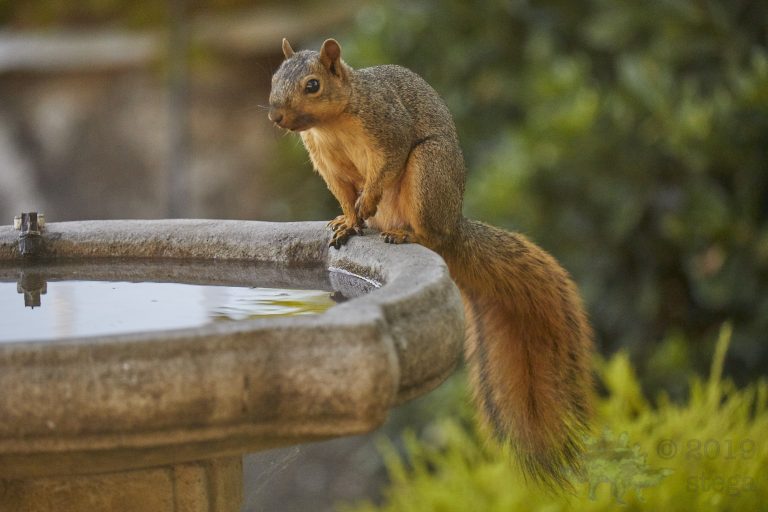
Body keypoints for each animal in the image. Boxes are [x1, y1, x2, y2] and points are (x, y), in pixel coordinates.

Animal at [268, 38, 594, 487]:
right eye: (273, 79)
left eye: (312, 85)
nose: (275, 116)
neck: (332, 124)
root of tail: (454, 225)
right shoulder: (327, 162)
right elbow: (343, 192)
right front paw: (348, 219)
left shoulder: (389, 128)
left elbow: (385, 166)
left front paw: (365, 204)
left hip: (429, 170)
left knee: (430, 232)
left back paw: (408, 234)